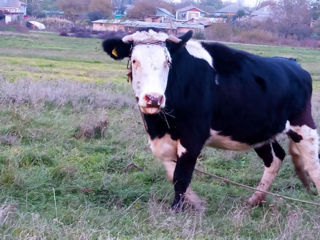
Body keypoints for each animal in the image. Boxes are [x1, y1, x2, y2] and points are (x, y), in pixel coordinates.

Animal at [102, 29, 320, 211]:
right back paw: (254, 200)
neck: (160, 125)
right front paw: (194, 202)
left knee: (313, 165)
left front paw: (177, 209)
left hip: (303, 127)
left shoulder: (193, 136)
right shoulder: (162, 141)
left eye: (168, 62)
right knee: (275, 158)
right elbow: (172, 172)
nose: (154, 98)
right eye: (134, 60)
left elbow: (181, 176)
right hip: (259, 131)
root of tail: (293, 63)